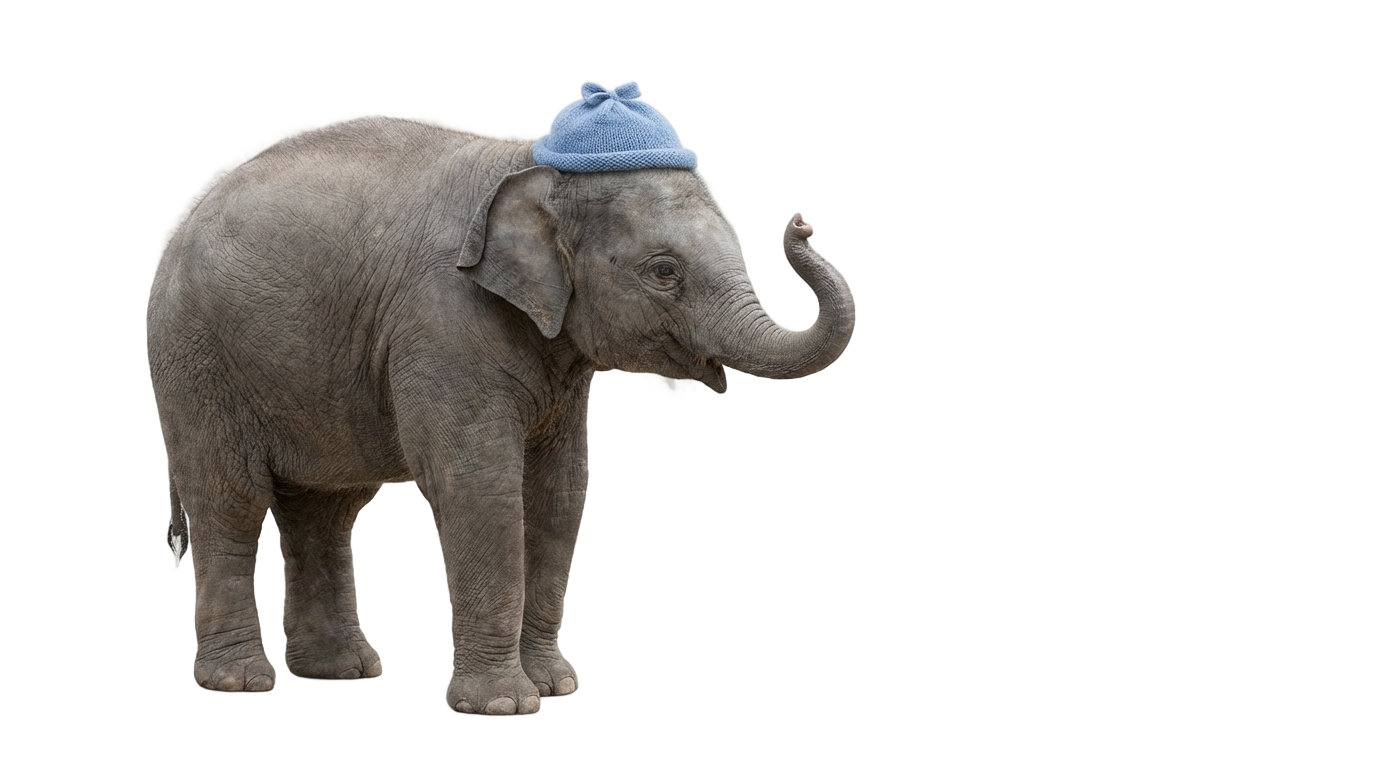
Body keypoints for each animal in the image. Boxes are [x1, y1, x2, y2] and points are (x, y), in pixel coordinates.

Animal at [146, 115, 853, 714]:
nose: (801, 222)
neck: (529, 164)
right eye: (663, 272)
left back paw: (342, 672)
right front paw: (505, 707)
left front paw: (557, 688)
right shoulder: (442, 323)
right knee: (233, 500)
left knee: (325, 509)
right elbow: (479, 488)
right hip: (197, 360)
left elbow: (559, 494)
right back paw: (240, 684)